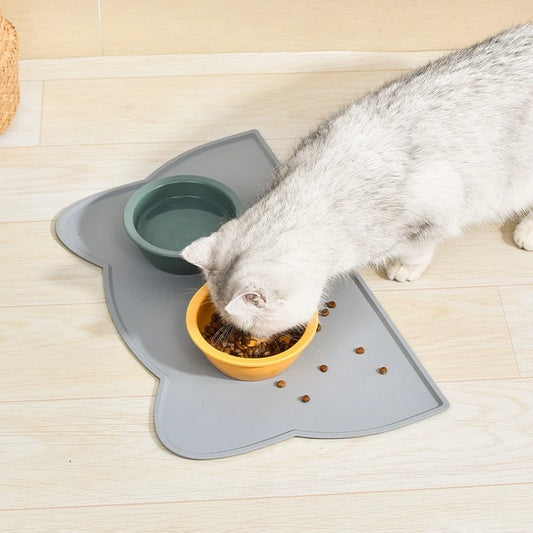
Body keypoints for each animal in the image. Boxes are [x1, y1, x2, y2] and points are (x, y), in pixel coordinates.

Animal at [183, 23, 532, 336]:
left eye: (249, 327)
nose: (250, 338)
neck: (318, 189)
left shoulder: (435, 214)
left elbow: (419, 249)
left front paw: (404, 267)